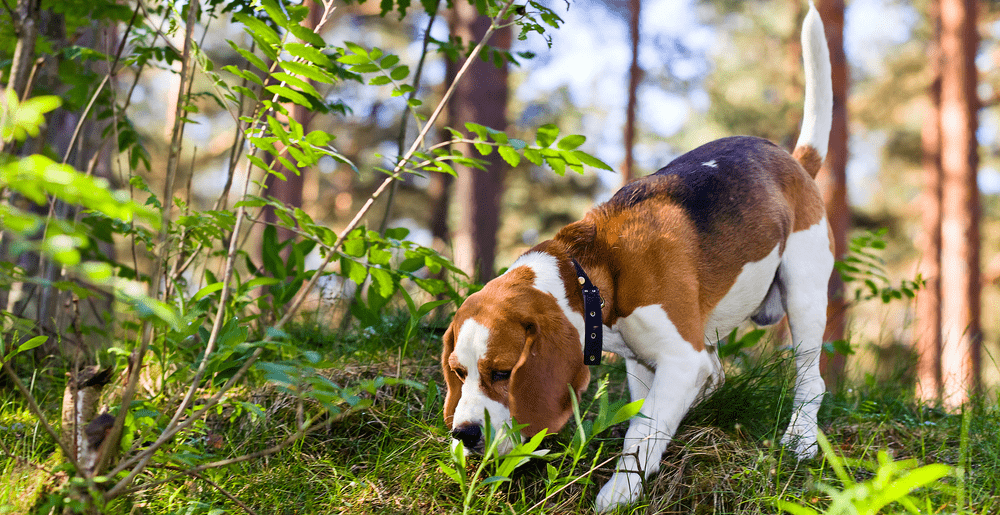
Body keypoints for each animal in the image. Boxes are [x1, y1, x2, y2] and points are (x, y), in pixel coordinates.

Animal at [442, 4, 832, 512]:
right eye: (458, 372)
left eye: (503, 372)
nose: (464, 434)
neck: (593, 273)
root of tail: (795, 162)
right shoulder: (643, 363)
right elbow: (646, 418)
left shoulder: (680, 359)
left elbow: (642, 432)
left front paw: (620, 491)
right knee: (718, 375)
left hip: (804, 293)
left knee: (810, 379)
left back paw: (801, 438)